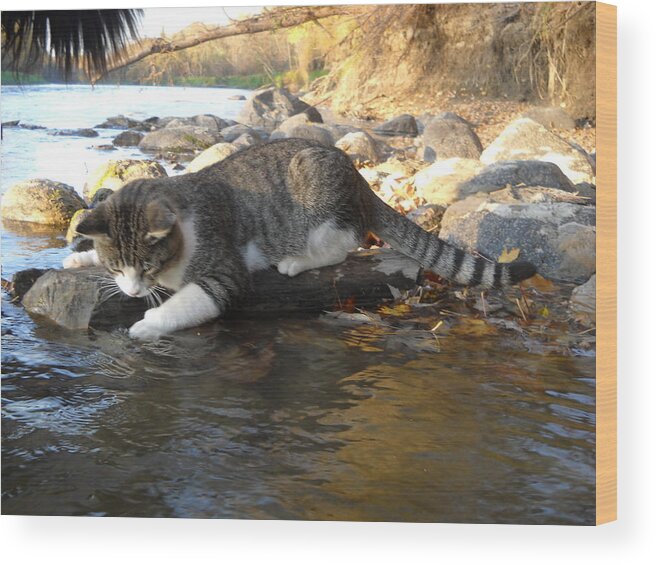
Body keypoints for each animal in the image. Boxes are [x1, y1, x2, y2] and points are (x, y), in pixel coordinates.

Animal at [62, 138, 532, 340]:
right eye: (118, 266)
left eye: (147, 266)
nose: (131, 290)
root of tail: (359, 179)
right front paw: (80, 260)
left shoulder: (224, 269)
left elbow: (193, 300)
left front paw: (149, 323)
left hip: (317, 195)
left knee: (345, 242)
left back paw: (296, 260)